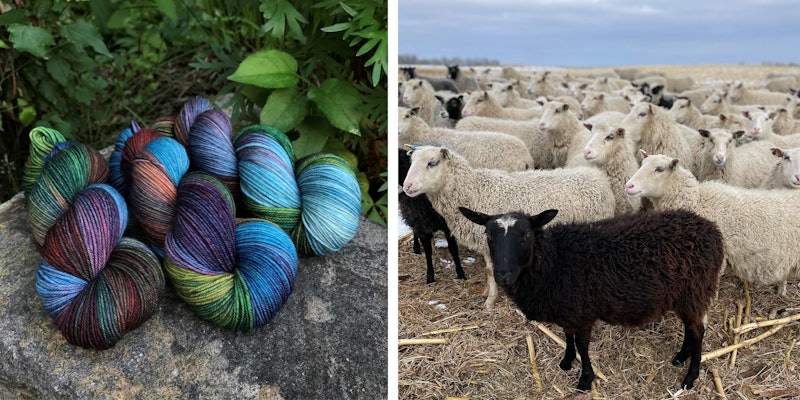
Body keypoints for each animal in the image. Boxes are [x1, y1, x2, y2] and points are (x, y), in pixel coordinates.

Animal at [398, 148, 465, 284]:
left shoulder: (447, 226)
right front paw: (430, 277)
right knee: (414, 232)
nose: (407, 186)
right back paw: (416, 248)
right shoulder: (422, 227)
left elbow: (453, 249)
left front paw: (461, 273)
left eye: (432, 163)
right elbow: (428, 253)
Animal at [459, 207, 723, 391]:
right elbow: (567, 335)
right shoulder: (567, 308)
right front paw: (566, 362)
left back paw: (690, 377)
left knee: (698, 331)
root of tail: (713, 230)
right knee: (691, 328)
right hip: (686, 296)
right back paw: (680, 357)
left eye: (526, 234)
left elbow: (582, 346)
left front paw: (585, 380)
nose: (503, 275)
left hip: (695, 291)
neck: (555, 260)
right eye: (488, 235)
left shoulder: (582, 312)